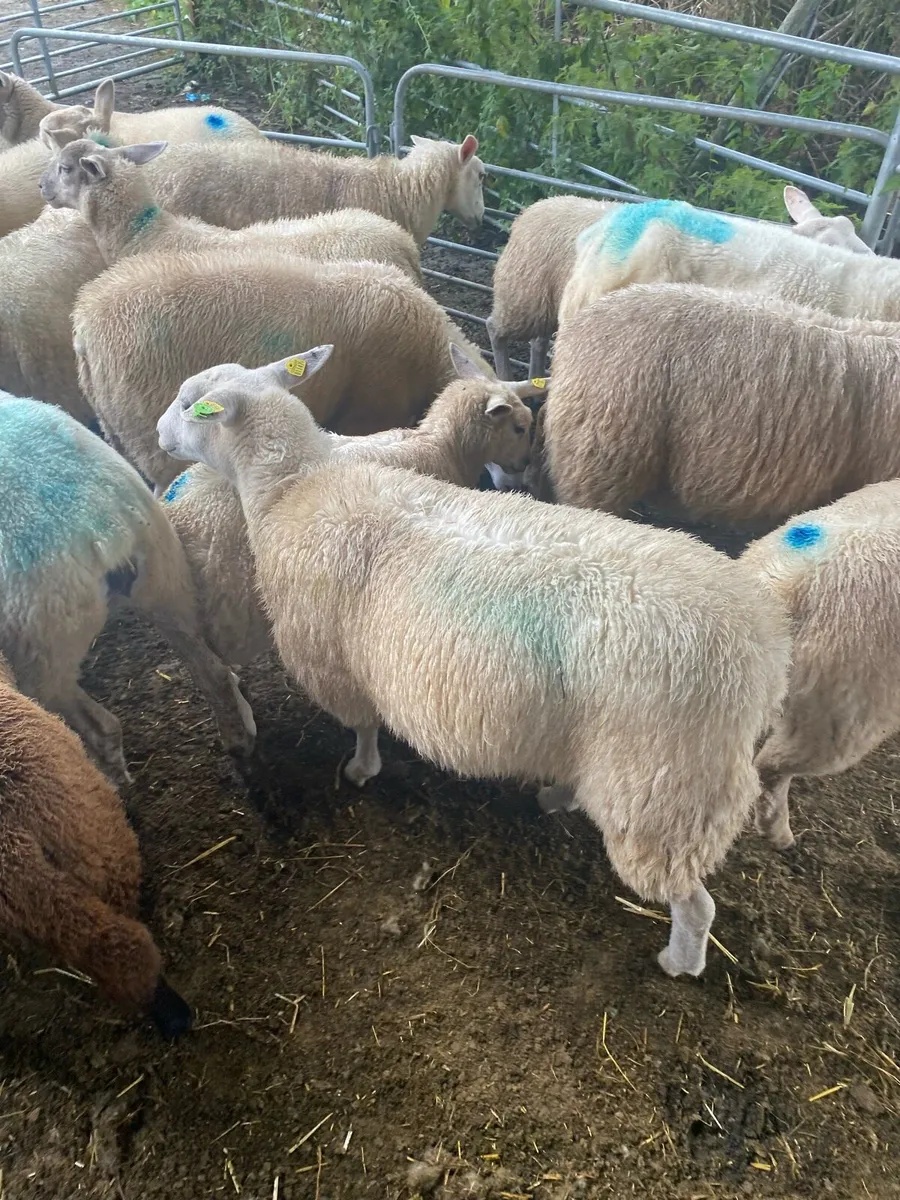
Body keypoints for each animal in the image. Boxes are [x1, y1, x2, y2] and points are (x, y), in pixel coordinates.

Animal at [0, 390, 256, 784]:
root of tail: (104, 527)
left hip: (40, 651)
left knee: (101, 728)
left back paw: (113, 785)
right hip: (165, 583)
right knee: (211, 673)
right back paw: (238, 739)